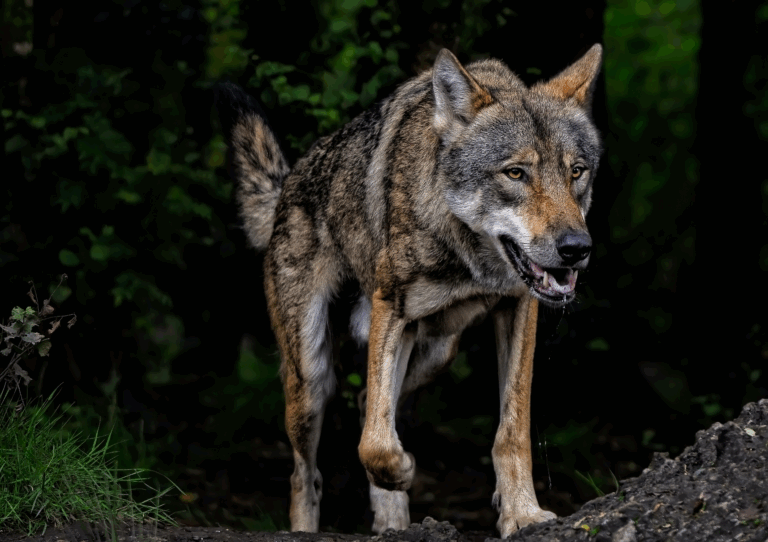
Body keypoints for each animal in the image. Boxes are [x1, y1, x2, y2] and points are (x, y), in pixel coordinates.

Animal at [216, 44, 602, 537]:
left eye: (577, 172)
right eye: (515, 173)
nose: (576, 249)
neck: (468, 256)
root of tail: (289, 184)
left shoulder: (519, 309)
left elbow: (511, 431)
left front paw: (522, 513)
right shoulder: (391, 307)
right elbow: (375, 446)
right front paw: (402, 470)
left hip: (437, 352)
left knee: (369, 404)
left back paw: (393, 521)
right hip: (310, 377)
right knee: (308, 471)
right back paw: (312, 526)